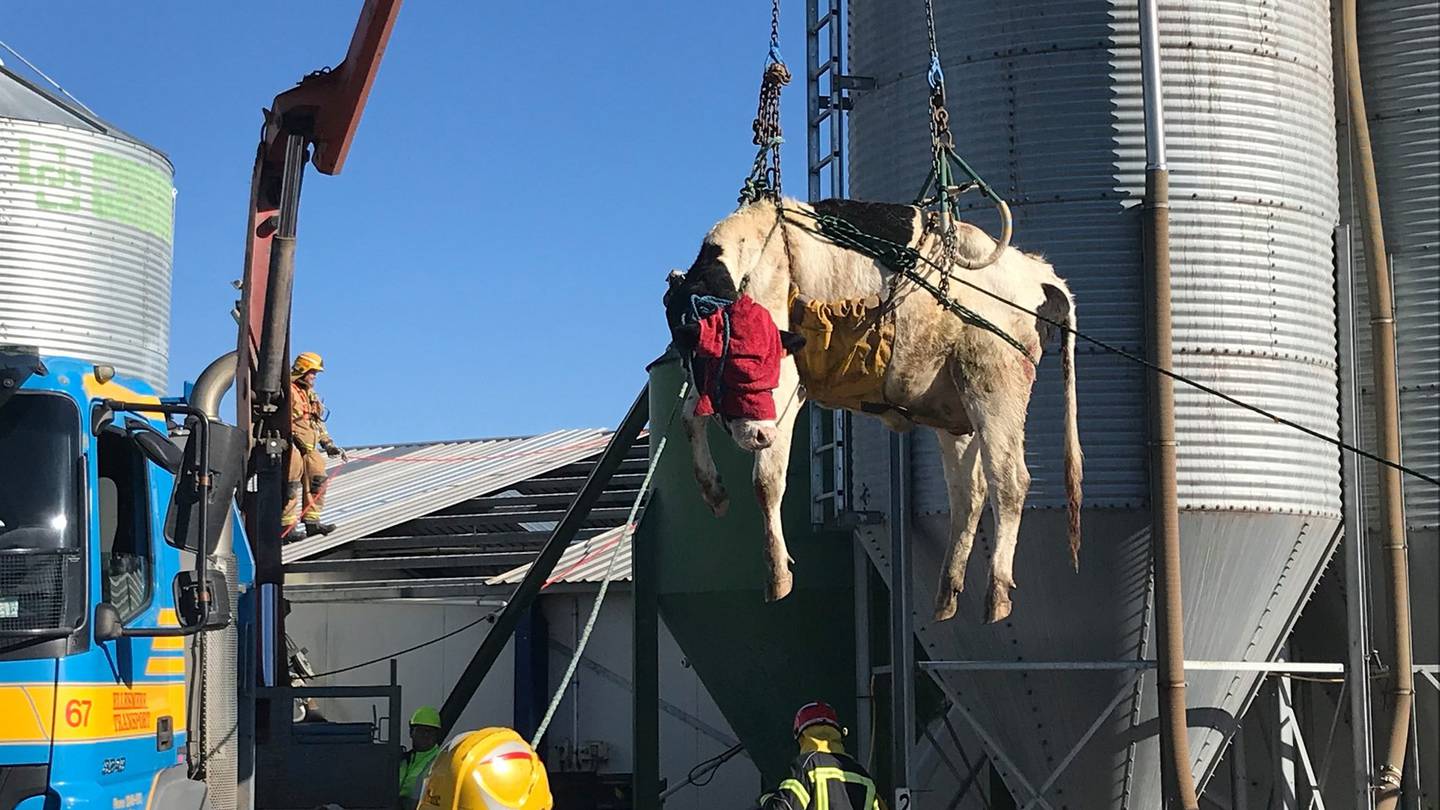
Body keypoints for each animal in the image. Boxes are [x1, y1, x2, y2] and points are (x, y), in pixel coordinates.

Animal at [662, 197, 1082, 625]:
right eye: (721, 357)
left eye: (763, 357)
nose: (759, 435)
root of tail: (1040, 274)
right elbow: (690, 416)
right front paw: (713, 490)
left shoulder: (789, 387)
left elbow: (766, 480)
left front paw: (778, 573)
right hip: (955, 408)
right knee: (969, 493)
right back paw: (946, 593)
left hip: (994, 382)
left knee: (1010, 482)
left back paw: (996, 592)